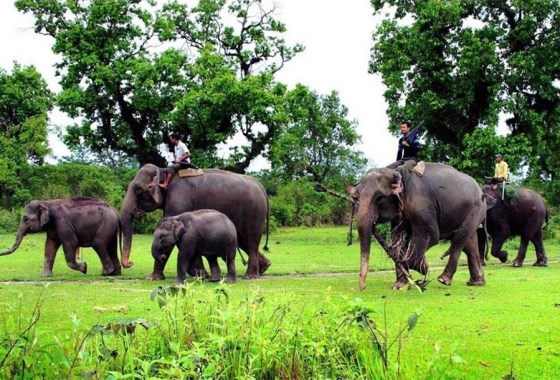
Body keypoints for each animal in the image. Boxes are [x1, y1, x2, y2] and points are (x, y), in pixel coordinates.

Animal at [121, 163, 272, 280]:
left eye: (137, 189)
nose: (130, 263)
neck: (164, 171)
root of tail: (262, 187)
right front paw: (202, 274)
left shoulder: (179, 199)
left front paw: (153, 278)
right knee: (242, 240)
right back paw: (264, 268)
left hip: (254, 211)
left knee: (251, 240)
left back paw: (250, 276)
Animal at [346, 162, 486, 290]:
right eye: (356, 198)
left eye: (379, 197)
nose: (363, 288)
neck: (398, 171)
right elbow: (398, 239)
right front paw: (398, 285)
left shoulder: (421, 203)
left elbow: (430, 234)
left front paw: (424, 268)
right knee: (469, 244)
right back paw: (476, 283)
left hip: (476, 208)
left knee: (459, 238)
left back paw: (443, 279)